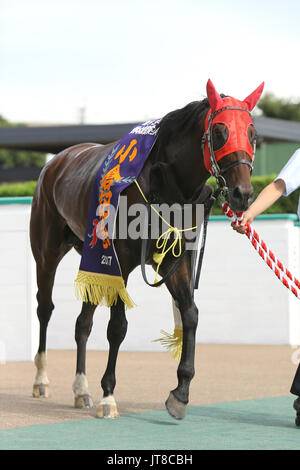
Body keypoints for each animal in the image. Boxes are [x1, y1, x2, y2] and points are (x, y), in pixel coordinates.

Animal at [29, 79, 264, 420]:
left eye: (252, 133)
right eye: (219, 131)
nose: (242, 194)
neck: (165, 183)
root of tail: (56, 163)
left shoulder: (175, 258)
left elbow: (190, 314)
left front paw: (180, 392)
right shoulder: (121, 259)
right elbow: (117, 327)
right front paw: (108, 396)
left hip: (92, 256)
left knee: (82, 323)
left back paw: (81, 389)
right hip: (48, 252)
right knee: (45, 309)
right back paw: (42, 380)